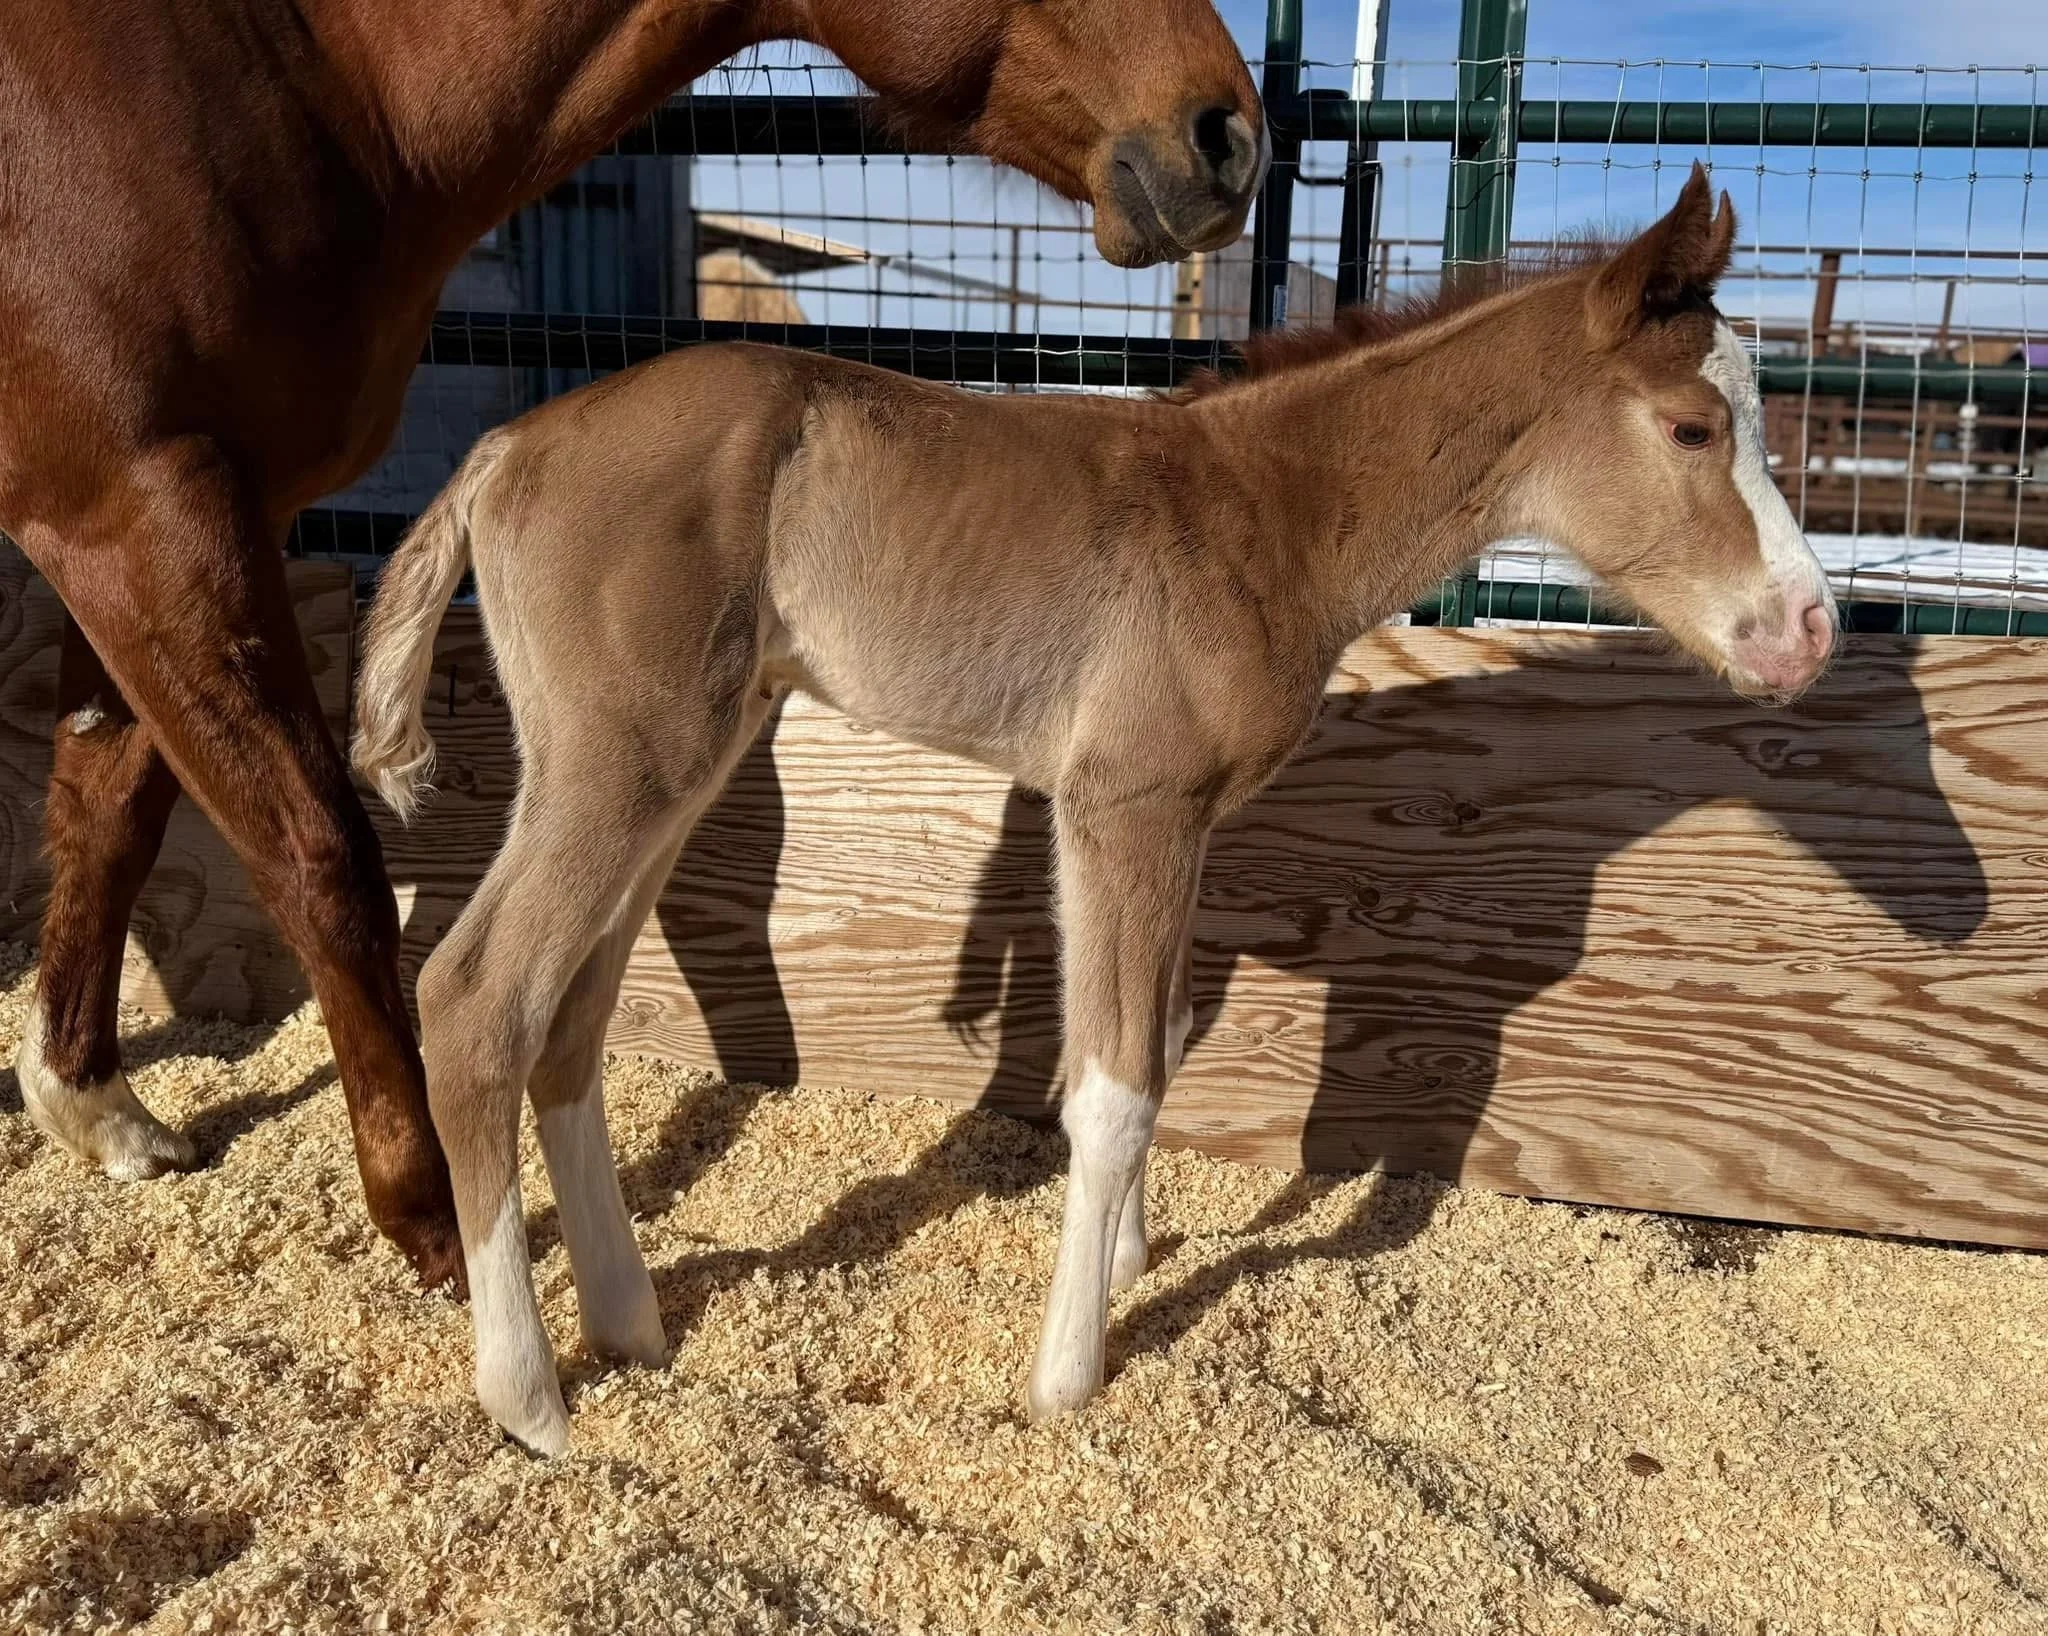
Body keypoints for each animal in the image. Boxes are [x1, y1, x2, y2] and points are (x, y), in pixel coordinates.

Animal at [0, 0, 1263, 1294]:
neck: (307, 82)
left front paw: (91, 1099)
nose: (1226, 135)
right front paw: (424, 1211)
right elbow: (319, 856)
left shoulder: (162, 524)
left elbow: (107, 801)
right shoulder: (142, 508)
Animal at [351, 163, 1839, 1452]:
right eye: (1695, 426)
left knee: (570, 1021)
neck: (1263, 514)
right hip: (627, 762)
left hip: (676, 765)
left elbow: (1143, 1046)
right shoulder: (1133, 806)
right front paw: (1070, 1372)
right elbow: (1119, 1086)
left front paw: (1123, 1259)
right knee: (477, 1000)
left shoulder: (1129, 821)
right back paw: (530, 1399)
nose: (1811, 631)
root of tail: (506, 443)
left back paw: (632, 1326)